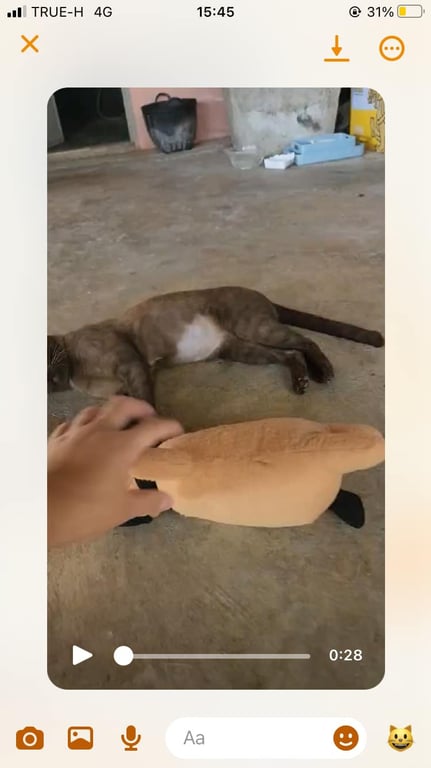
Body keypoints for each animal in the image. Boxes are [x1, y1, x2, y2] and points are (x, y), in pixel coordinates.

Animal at [48, 286, 384, 402]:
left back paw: (323, 373)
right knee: (289, 354)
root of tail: (261, 294)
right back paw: (301, 382)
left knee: (306, 342)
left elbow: (147, 405)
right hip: (240, 349)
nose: (49, 382)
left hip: (256, 329)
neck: (79, 377)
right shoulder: (124, 389)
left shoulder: (132, 365)